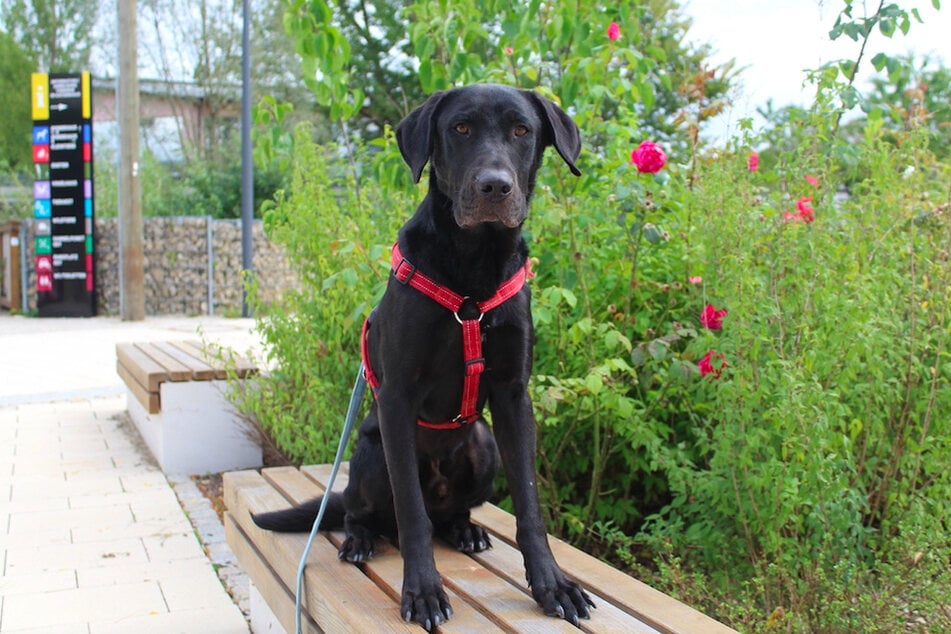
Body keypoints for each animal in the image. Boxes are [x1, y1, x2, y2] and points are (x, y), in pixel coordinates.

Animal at [253, 84, 596, 628]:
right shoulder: (396, 398)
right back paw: (359, 540)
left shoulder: (513, 396)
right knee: (364, 510)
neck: (474, 268)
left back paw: (466, 529)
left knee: (449, 513)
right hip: (372, 455)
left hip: (484, 444)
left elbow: (529, 506)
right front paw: (423, 592)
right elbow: (410, 515)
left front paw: (552, 585)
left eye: (522, 130)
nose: (494, 187)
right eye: (460, 128)